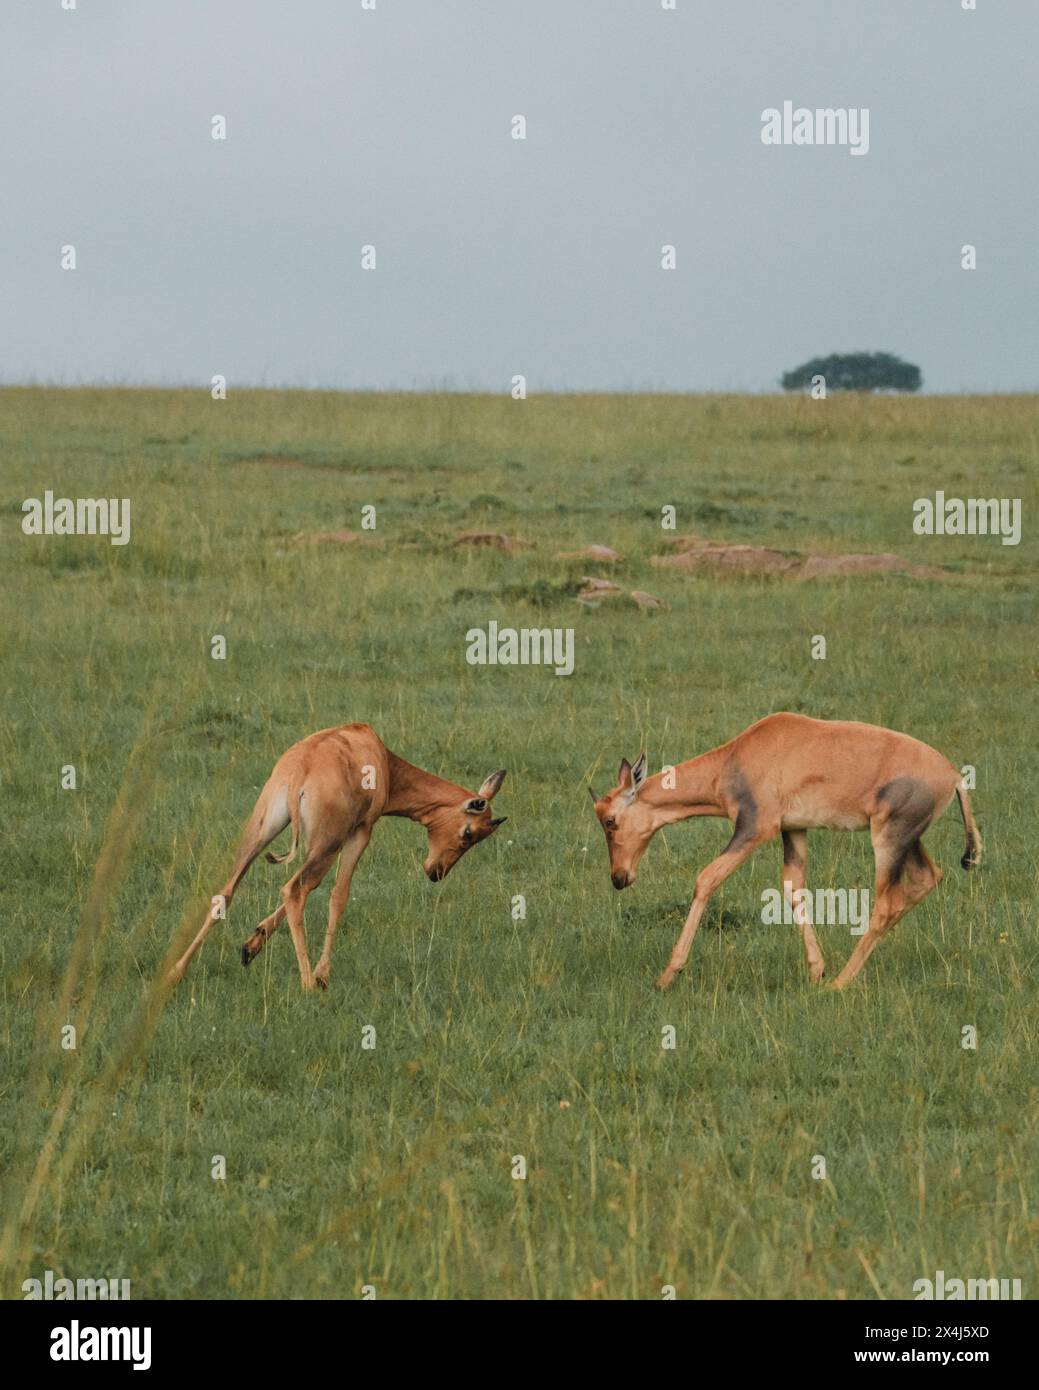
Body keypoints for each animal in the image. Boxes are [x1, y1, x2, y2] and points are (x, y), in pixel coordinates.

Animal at [167, 728, 509, 989]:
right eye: (468, 833)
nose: (436, 872)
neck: (377, 753)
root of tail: (301, 770)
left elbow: (318, 887)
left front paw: (251, 945)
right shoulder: (358, 834)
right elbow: (338, 895)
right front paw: (322, 975)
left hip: (265, 832)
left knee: (227, 891)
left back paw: (176, 971)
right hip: (325, 843)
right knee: (294, 890)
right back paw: (308, 983)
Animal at [592, 717, 984, 989]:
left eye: (610, 820)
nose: (619, 878)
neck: (740, 756)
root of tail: (953, 776)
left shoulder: (755, 829)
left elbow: (707, 879)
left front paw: (666, 975)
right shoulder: (792, 829)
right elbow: (793, 888)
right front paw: (816, 970)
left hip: (888, 838)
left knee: (887, 902)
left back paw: (840, 984)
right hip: (907, 837)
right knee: (927, 878)